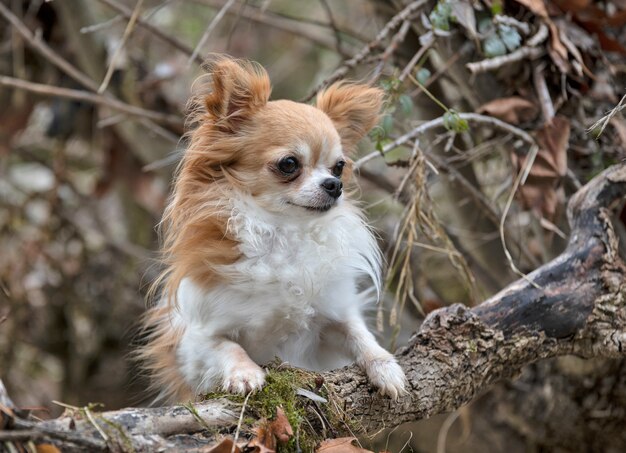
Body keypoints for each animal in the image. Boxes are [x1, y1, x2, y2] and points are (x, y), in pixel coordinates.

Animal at [138, 57, 404, 402]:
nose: (335, 185)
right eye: (289, 164)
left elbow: (360, 334)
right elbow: (227, 347)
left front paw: (386, 367)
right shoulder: (193, 342)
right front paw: (245, 373)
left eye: (339, 167)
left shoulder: (334, 316)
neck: (282, 233)